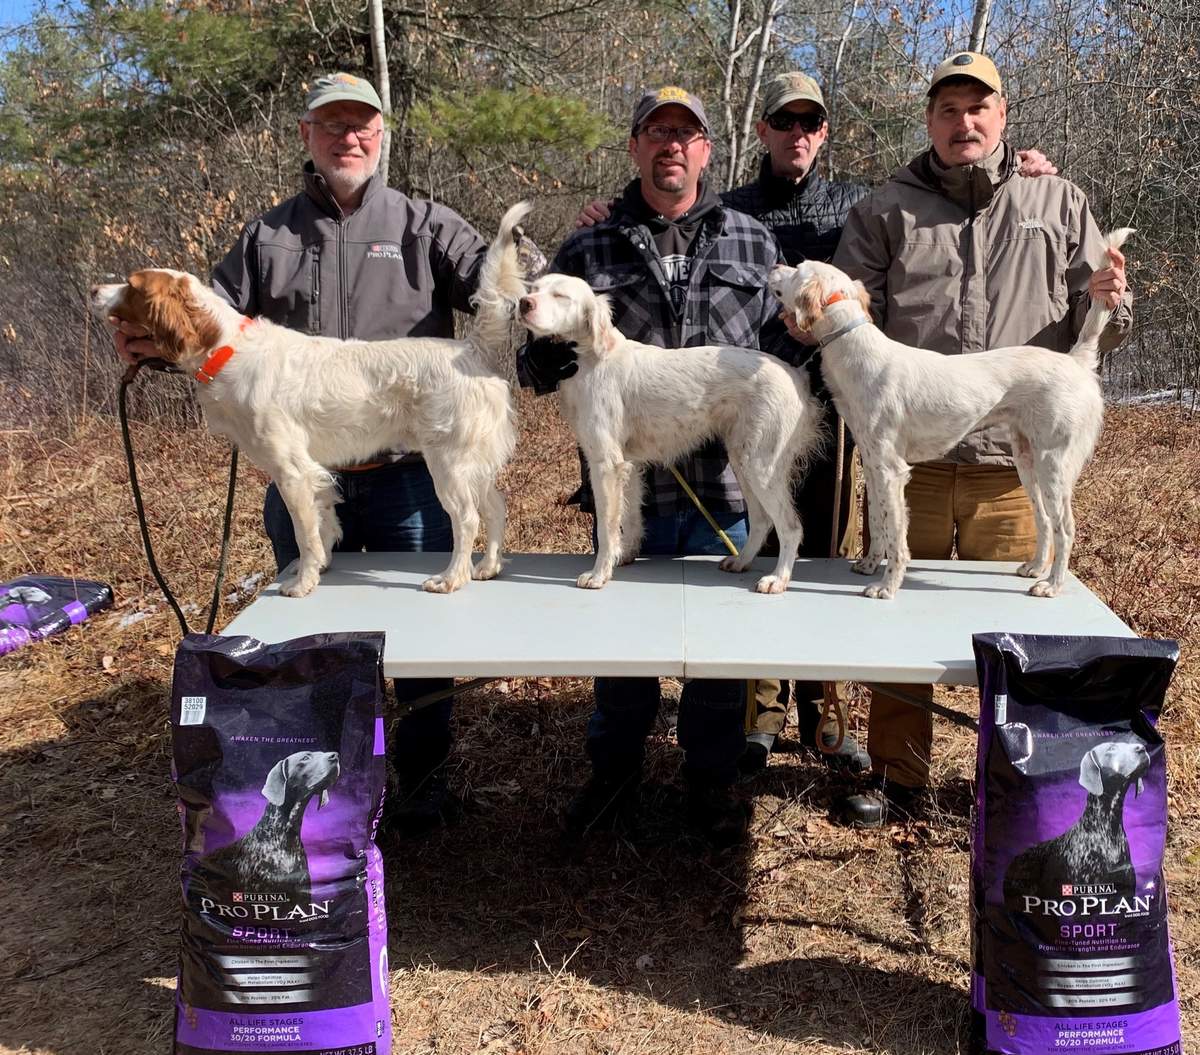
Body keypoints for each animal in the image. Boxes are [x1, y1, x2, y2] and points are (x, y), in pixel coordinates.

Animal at [96, 198, 537, 595]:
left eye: (131, 286)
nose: (97, 288)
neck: (228, 347)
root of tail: (472, 349)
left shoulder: (292, 471)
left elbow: (304, 535)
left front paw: (302, 583)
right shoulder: (316, 473)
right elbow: (324, 527)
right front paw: (319, 568)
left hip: (447, 463)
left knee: (467, 520)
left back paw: (451, 578)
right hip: (472, 464)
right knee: (496, 506)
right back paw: (488, 567)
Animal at [520, 274, 820, 595]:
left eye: (560, 295)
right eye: (533, 289)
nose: (523, 303)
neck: (593, 357)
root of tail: (794, 374)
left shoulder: (605, 464)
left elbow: (607, 528)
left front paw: (600, 573)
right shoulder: (629, 464)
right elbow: (630, 517)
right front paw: (625, 556)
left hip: (761, 466)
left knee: (790, 527)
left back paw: (778, 579)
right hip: (744, 460)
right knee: (762, 521)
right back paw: (741, 561)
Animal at [768, 225, 1132, 597]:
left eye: (797, 269)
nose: (774, 265)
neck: (855, 348)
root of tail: (1076, 360)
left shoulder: (891, 469)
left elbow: (897, 537)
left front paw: (887, 586)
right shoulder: (872, 462)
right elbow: (878, 521)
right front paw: (869, 564)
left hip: (1054, 463)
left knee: (1066, 528)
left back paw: (1052, 584)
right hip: (1027, 461)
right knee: (1045, 520)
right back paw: (1033, 568)